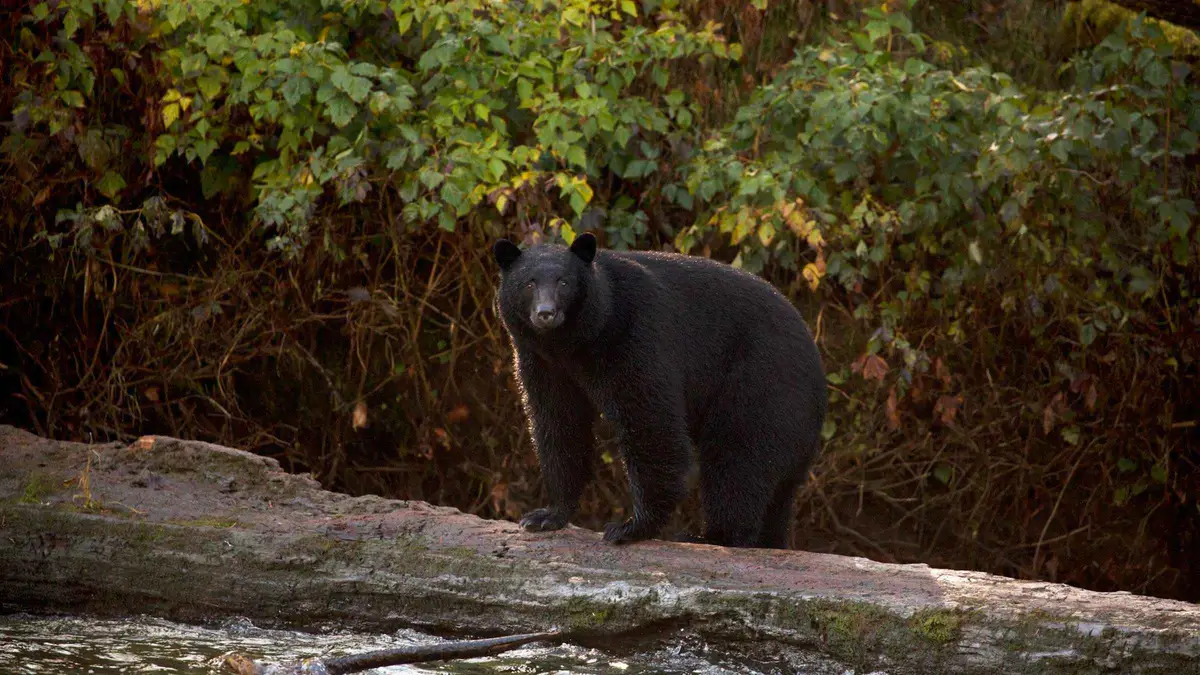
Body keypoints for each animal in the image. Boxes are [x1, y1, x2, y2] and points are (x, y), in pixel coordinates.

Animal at [492, 232, 827, 549]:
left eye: (564, 282)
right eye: (528, 283)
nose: (545, 313)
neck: (574, 342)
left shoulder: (634, 334)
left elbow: (649, 420)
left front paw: (631, 527)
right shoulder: (543, 362)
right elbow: (558, 421)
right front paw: (547, 515)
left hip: (763, 383)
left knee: (739, 455)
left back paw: (710, 535)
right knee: (776, 491)